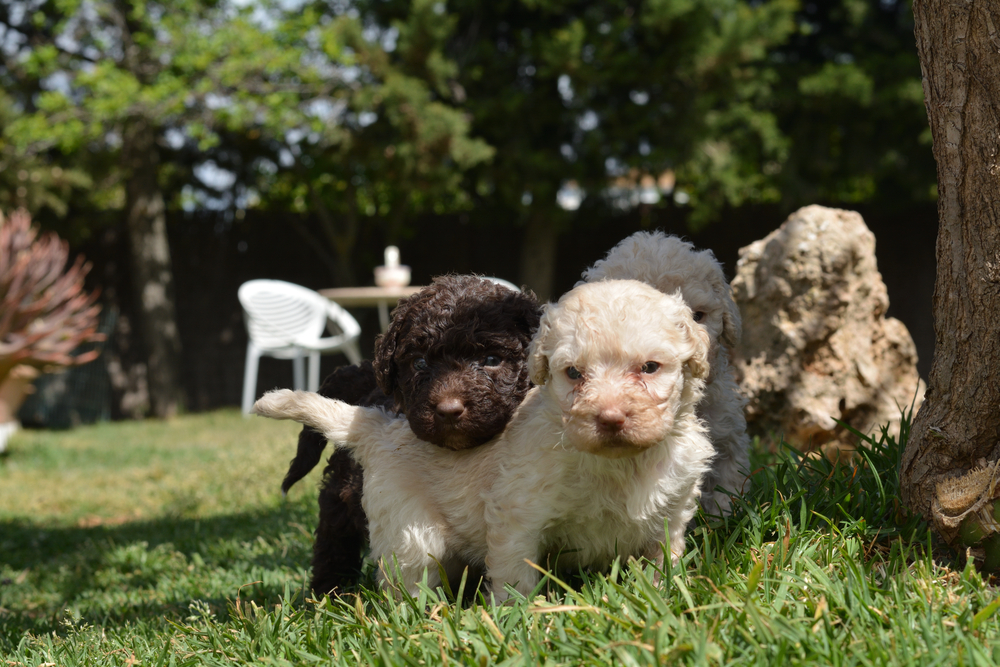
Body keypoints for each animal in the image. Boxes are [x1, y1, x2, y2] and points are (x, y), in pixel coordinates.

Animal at [254, 280, 716, 600]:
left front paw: (665, 596)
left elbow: (663, 561)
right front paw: (521, 619)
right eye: (573, 374)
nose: (611, 418)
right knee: (406, 580)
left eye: (650, 367)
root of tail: (380, 425)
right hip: (408, 530)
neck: (621, 463)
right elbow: (515, 576)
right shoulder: (518, 515)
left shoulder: (671, 515)